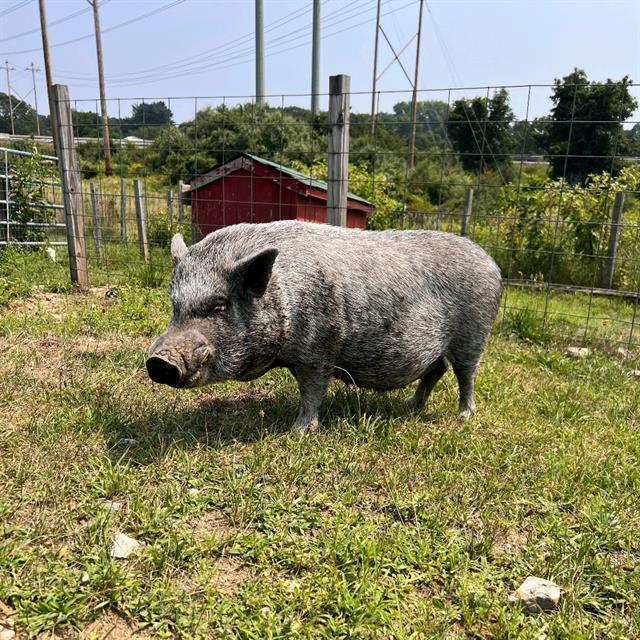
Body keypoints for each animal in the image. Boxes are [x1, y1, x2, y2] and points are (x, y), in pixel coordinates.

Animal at [146, 220, 502, 431]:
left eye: (219, 305)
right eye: (174, 305)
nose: (159, 361)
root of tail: (491, 262)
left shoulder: (319, 350)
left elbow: (312, 391)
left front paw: (298, 431)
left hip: (474, 331)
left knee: (466, 374)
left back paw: (463, 416)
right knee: (436, 369)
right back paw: (410, 405)